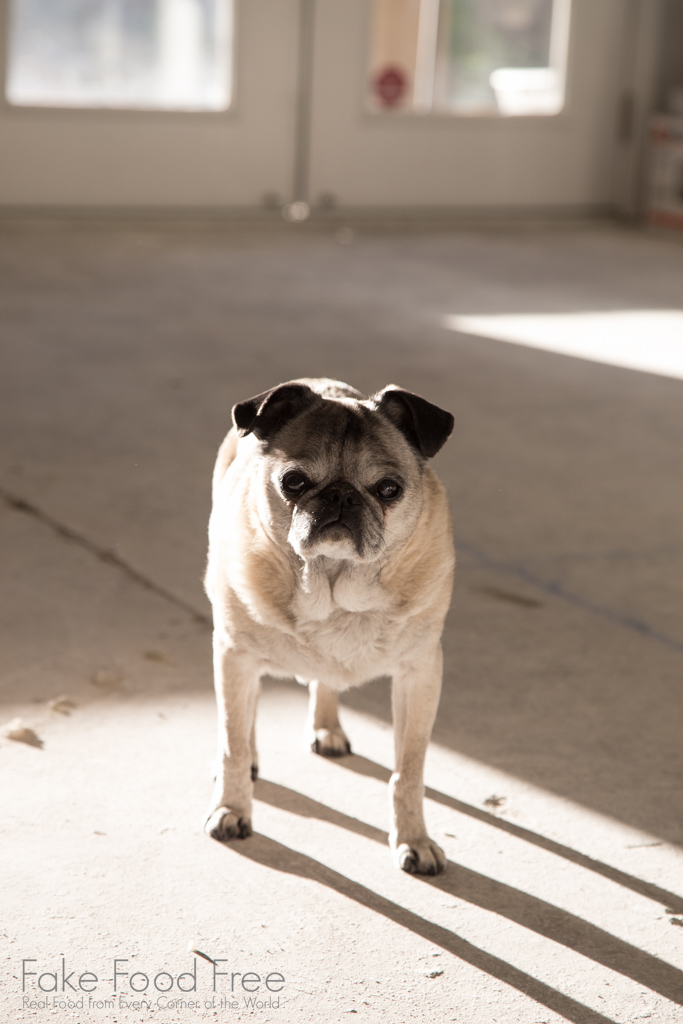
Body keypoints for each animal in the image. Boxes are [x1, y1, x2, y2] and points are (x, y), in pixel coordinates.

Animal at [205, 380, 456, 876]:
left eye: (389, 489)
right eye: (294, 482)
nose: (342, 496)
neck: (334, 585)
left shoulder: (420, 674)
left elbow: (408, 771)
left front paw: (414, 839)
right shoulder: (233, 653)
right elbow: (232, 745)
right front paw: (232, 809)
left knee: (323, 683)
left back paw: (327, 728)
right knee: (244, 717)